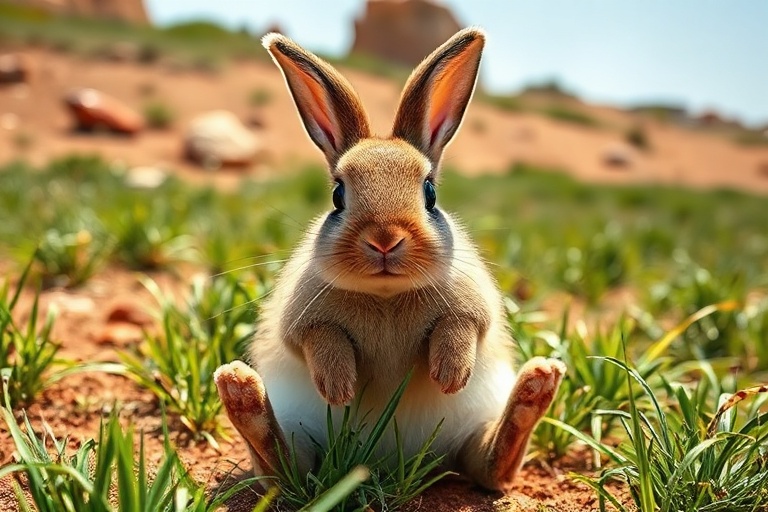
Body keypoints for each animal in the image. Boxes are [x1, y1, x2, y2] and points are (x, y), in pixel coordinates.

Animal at [214, 27, 565, 493]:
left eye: (430, 193)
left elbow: (460, 327)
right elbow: (320, 338)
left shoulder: (473, 312)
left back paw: (536, 385)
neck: (386, 296)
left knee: (492, 467)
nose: (385, 239)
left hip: (476, 433)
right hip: (296, 441)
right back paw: (240, 390)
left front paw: (450, 375)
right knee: (285, 469)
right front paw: (339, 387)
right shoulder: (303, 324)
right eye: (337, 195)